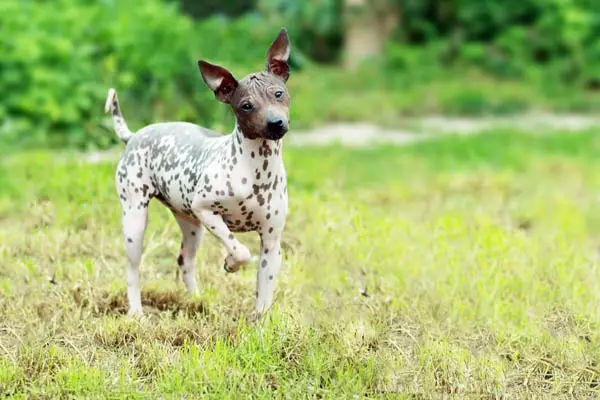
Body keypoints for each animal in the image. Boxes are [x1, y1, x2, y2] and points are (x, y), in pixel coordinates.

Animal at [105, 28, 292, 318]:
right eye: (246, 106)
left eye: (279, 93)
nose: (275, 123)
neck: (256, 171)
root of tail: (134, 135)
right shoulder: (206, 210)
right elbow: (240, 250)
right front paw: (230, 263)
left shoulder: (271, 246)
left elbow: (264, 297)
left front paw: (260, 325)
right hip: (135, 221)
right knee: (133, 270)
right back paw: (136, 313)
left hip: (192, 227)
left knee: (185, 262)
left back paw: (198, 302)